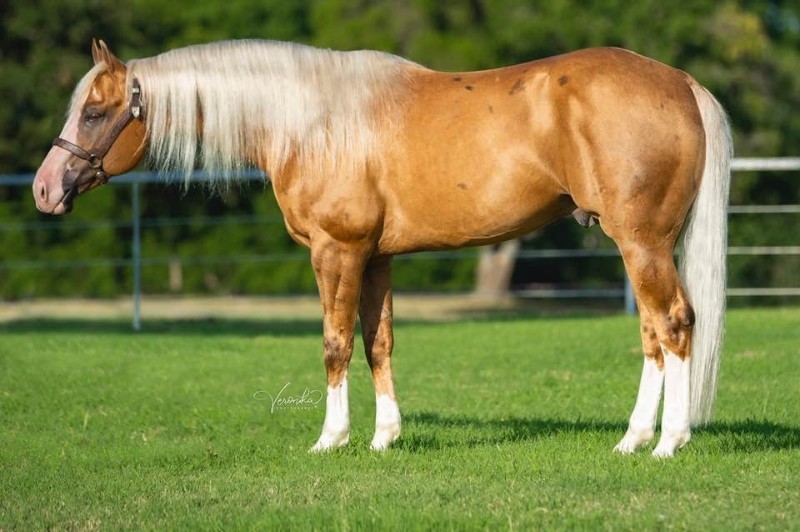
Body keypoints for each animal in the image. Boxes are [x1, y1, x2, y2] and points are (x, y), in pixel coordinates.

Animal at [33, 39, 731, 457]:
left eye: (93, 113)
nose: (44, 188)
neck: (311, 121)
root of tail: (680, 82)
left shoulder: (336, 251)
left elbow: (335, 343)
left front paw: (332, 439)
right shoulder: (376, 258)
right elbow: (379, 343)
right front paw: (385, 437)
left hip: (641, 244)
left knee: (673, 325)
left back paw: (669, 443)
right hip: (642, 248)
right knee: (652, 333)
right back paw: (633, 439)